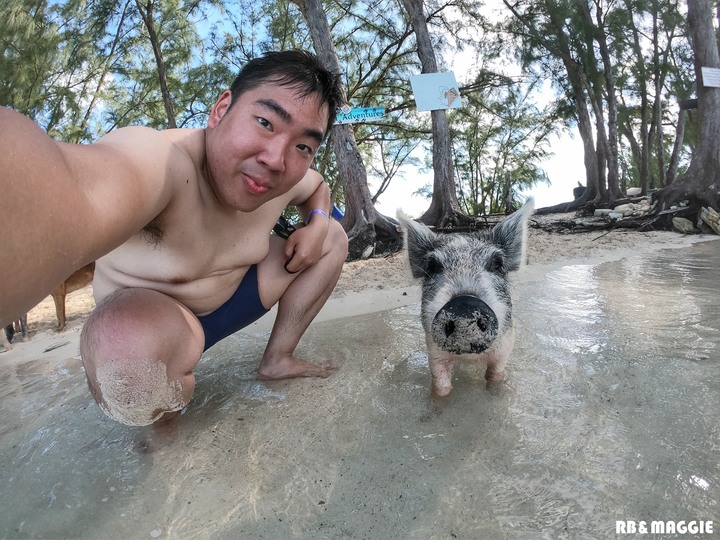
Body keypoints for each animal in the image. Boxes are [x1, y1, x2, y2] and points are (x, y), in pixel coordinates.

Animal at [400, 199, 536, 396]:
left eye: (497, 264)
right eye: (432, 267)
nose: (464, 305)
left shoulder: (505, 343)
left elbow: (495, 374)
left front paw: (496, 394)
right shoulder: (433, 349)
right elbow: (440, 384)